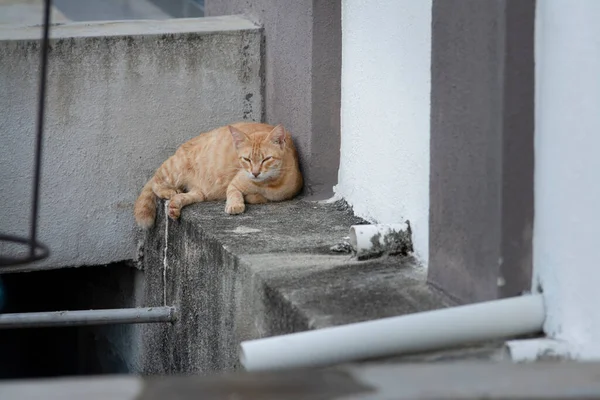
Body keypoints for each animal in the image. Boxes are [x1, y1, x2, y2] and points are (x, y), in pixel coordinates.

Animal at [137, 121, 304, 228]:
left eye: (266, 159)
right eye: (247, 159)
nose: (255, 173)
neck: (266, 184)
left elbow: (260, 198)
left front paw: (252, 197)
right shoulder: (234, 183)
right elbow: (234, 193)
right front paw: (235, 205)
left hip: (200, 192)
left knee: (190, 195)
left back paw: (174, 206)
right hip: (174, 170)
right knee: (155, 182)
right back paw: (168, 192)